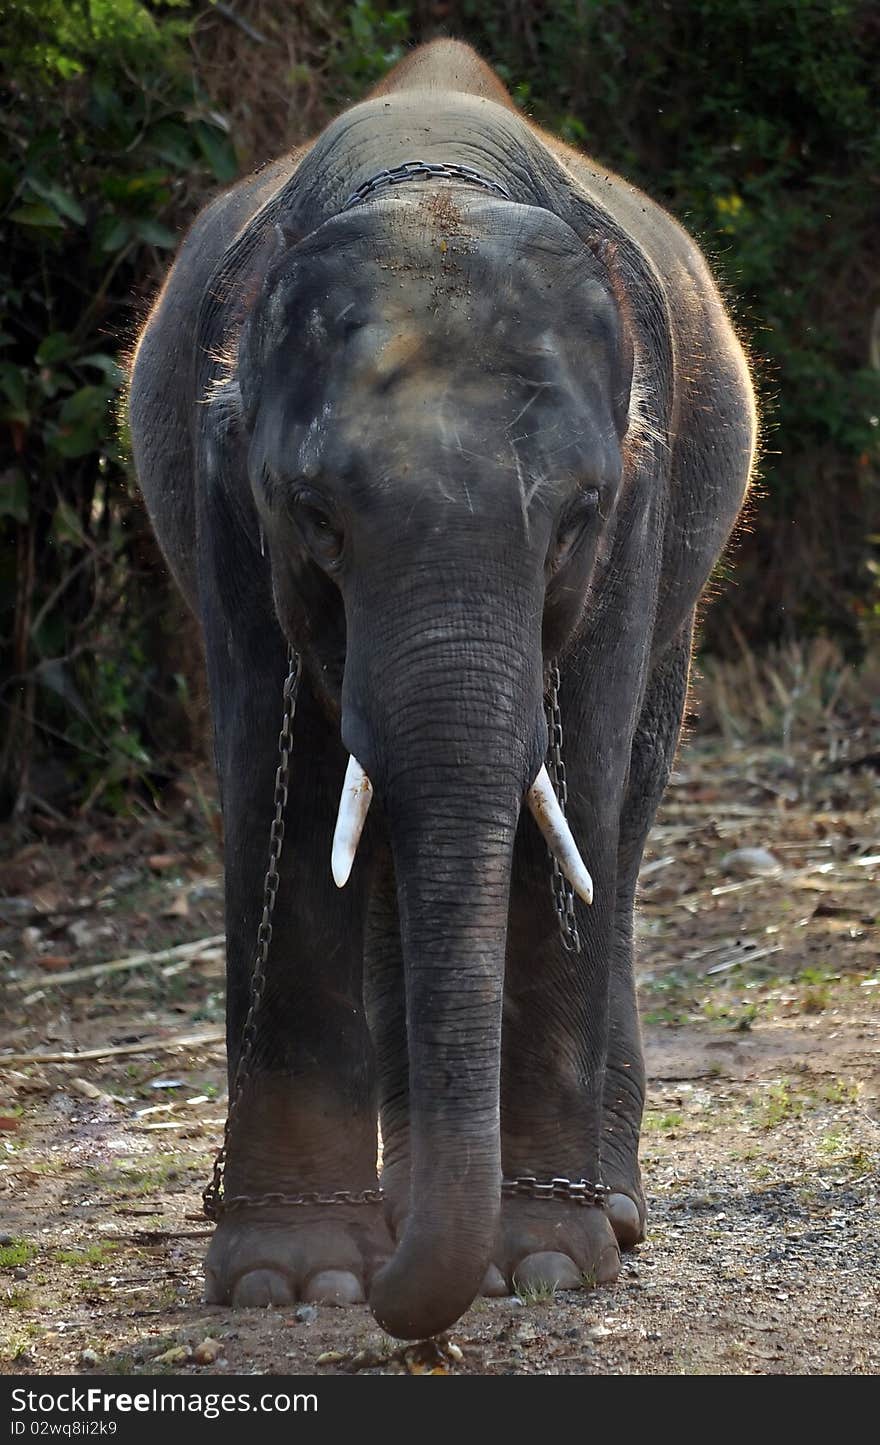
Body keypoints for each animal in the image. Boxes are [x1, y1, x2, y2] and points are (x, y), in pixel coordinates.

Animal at [128, 36, 757, 1340]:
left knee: (620, 821)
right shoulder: (226, 509)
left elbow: (564, 796)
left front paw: (547, 1263)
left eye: (575, 515)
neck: (436, 186)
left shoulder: (639, 505)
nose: (396, 1297)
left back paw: (599, 1209)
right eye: (314, 513)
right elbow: (284, 797)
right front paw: (293, 1280)